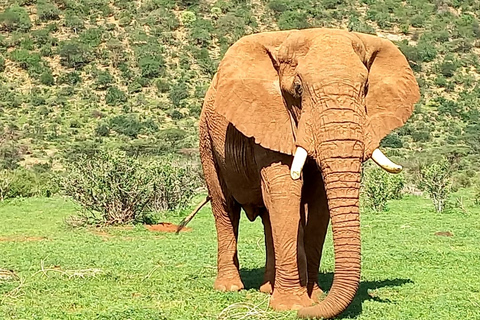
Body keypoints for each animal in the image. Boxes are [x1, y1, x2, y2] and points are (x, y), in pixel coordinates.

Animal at [197, 28, 418, 320]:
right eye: (298, 90)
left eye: (365, 89)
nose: (306, 311)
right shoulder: (272, 118)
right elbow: (285, 191)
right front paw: (292, 306)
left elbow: (318, 200)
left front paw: (313, 298)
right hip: (207, 143)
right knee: (224, 209)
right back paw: (230, 288)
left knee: (268, 217)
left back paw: (267, 289)